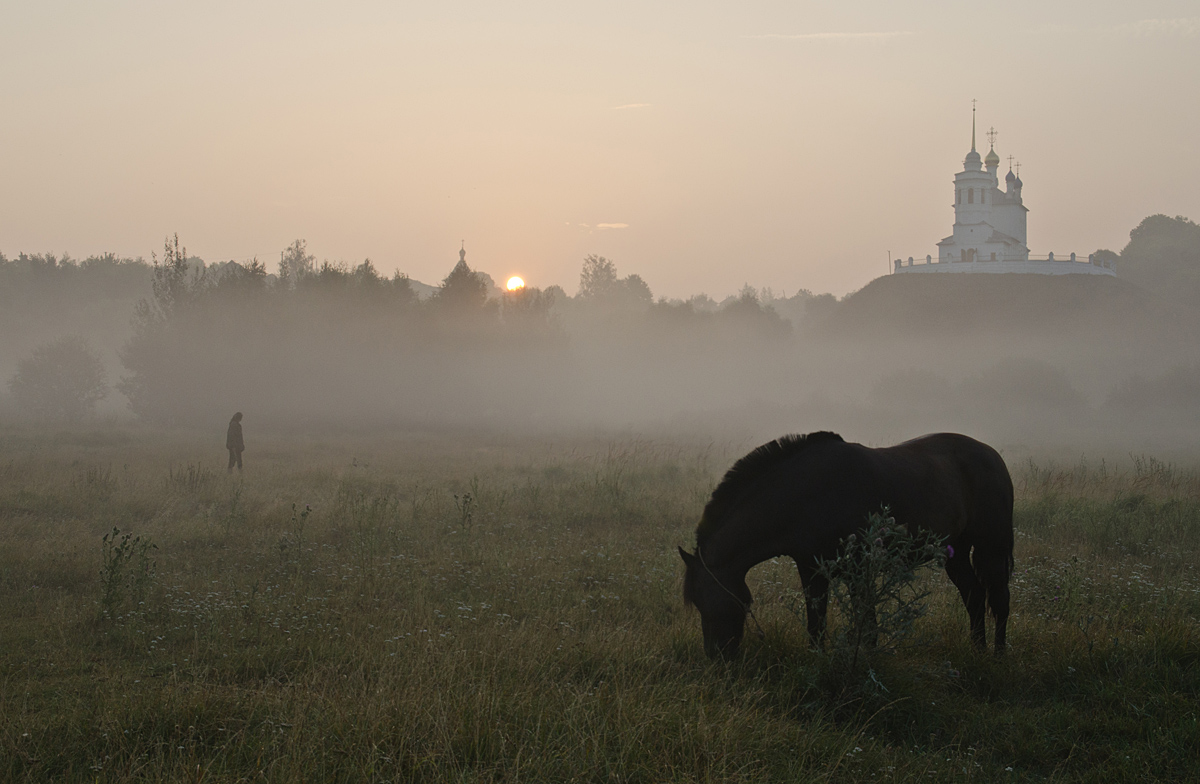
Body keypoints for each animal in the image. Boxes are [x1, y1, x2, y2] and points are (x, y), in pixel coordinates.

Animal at [676, 432, 1012, 657]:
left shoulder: (857, 568)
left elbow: (868, 624)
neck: (805, 495)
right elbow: (817, 624)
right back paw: (977, 651)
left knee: (999, 601)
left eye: (708, 601)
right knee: (974, 596)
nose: (717, 657)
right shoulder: (811, 569)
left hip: (992, 547)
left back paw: (996, 657)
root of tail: (993, 455)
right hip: (955, 552)